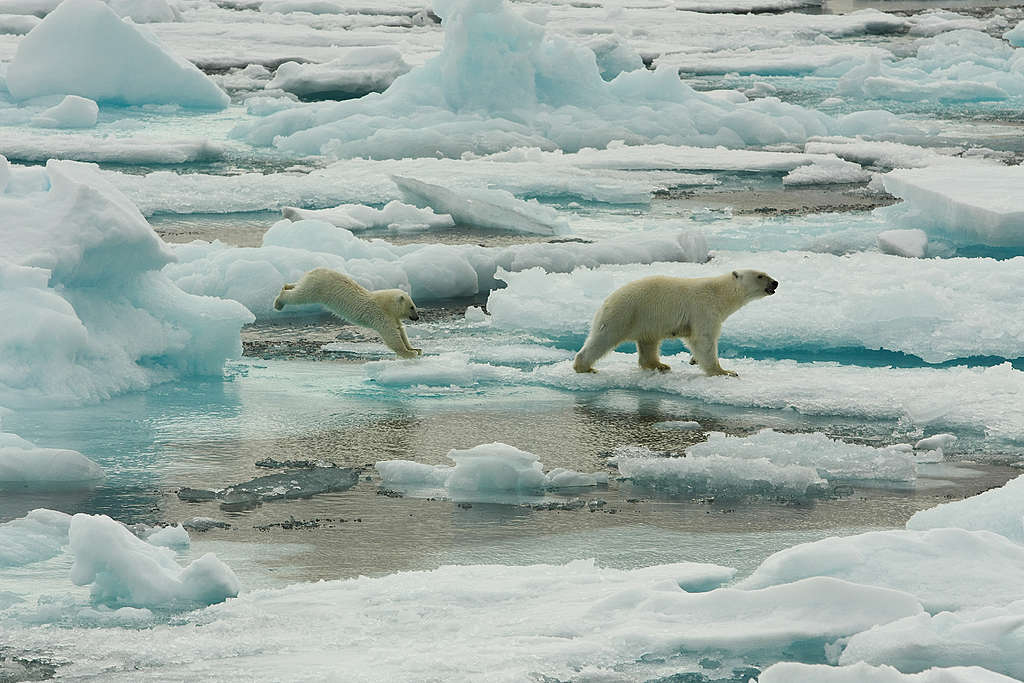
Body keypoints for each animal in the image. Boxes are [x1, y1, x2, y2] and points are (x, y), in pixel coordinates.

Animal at [272, 268, 423, 360]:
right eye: (412, 307)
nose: (417, 317)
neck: (384, 303)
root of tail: (315, 271)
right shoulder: (379, 314)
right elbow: (391, 335)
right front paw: (410, 353)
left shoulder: (392, 316)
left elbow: (400, 330)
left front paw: (415, 348)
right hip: (318, 288)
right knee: (300, 295)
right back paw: (279, 302)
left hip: (311, 282)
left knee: (298, 286)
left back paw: (287, 285)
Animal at [577, 270, 774, 378]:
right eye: (760, 275)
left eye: (766, 273)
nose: (776, 283)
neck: (719, 293)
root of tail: (607, 300)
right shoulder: (703, 308)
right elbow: (703, 338)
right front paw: (725, 372)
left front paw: (694, 360)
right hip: (624, 314)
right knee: (603, 339)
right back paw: (585, 367)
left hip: (646, 320)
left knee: (649, 342)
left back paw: (660, 365)